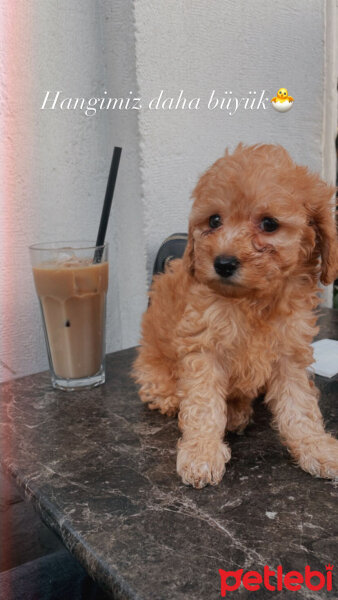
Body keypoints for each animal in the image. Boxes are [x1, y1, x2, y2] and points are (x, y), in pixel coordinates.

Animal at [133, 144, 338, 488]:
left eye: (269, 224)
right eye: (215, 220)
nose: (223, 263)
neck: (252, 300)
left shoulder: (290, 351)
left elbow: (300, 406)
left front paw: (316, 447)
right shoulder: (202, 346)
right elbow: (203, 405)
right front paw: (201, 454)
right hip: (154, 370)